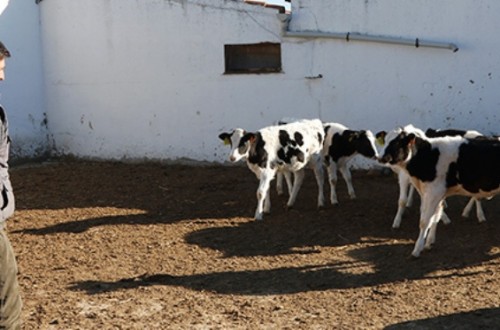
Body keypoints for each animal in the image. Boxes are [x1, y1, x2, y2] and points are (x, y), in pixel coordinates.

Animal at [378, 126, 500, 258]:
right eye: (385, 141)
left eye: (397, 143)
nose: (380, 157)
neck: (429, 155)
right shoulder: (432, 193)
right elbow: (435, 217)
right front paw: (429, 243)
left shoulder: (434, 193)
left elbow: (425, 221)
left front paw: (417, 249)